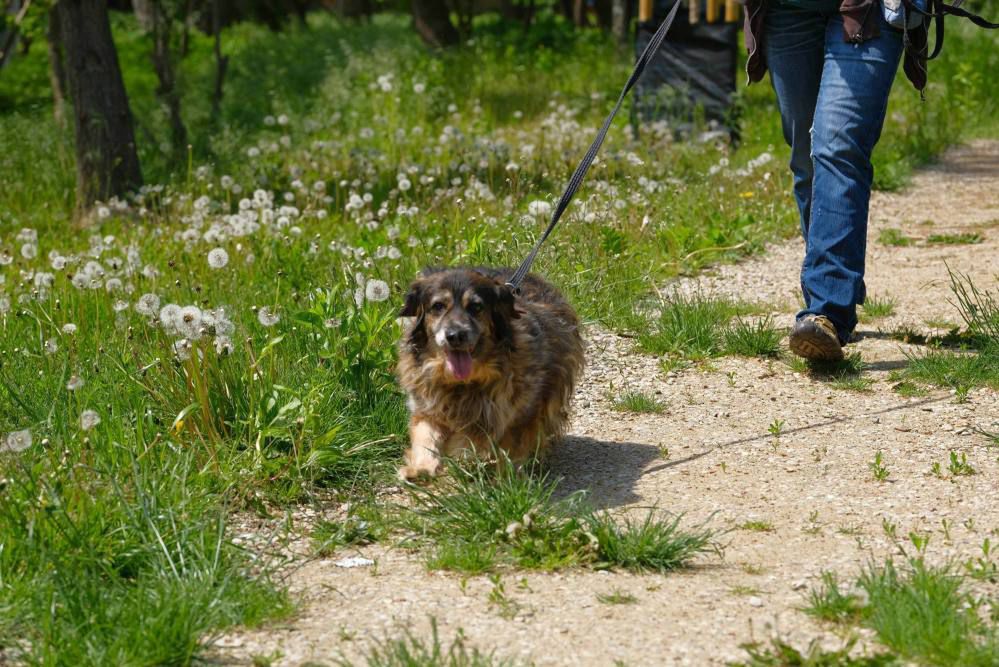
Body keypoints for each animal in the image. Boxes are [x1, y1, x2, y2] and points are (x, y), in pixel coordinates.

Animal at [396, 266, 584, 480]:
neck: (463, 383)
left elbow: (512, 447)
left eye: (476, 307)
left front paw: (508, 479)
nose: (455, 335)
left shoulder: (522, 414)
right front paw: (420, 468)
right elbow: (425, 435)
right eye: (438, 306)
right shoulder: (428, 406)